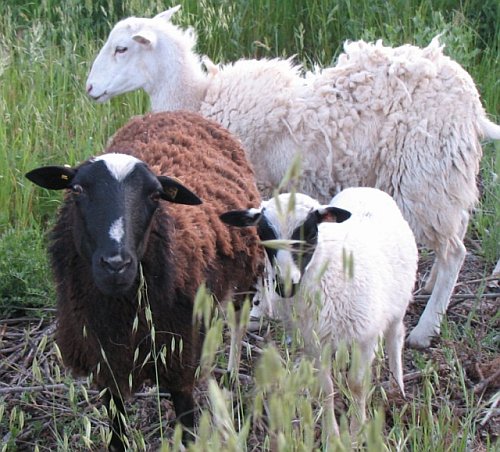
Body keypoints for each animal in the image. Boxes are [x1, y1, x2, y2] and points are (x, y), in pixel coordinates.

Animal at [24, 110, 262, 452]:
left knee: (238, 325)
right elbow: (117, 439)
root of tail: (175, 112)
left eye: (154, 195)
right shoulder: (106, 366)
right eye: (78, 189)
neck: (122, 315)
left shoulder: (180, 360)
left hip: (245, 276)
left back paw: (229, 384)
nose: (116, 264)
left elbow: (188, 436)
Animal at [85, 7, 500, 348]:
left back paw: (425, 329)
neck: (197, 97)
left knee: (454, 251)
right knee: (455, 231)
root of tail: (473, 103)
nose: (89, 88)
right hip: (443, 175)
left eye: (122, 48)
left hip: (424, 174)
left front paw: (257, 311)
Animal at [221, 186, 420, 434]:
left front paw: (356, 431)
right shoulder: (314, 341)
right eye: (263, 235)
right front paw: (331, 433)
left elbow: (357, 385)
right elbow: (325, 388)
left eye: (310, 233)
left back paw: (397, 387)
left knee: (396, 337)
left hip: (398, 303)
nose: (285, 286)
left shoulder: (365, 337)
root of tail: (367, 189)